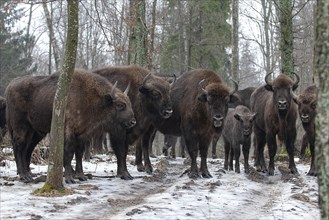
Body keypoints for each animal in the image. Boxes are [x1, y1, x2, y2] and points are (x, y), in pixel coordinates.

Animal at [4, 69, 135, 183]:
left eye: (129, 103)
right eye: (119, 105)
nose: (133, 122)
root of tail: (10, 86)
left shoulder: (82, 134)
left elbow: (79, 154)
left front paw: (81, 176)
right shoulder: (69, 131)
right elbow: (68, 153)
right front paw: (69, 178)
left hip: (35, 131)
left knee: (28, 148)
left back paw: (28, 173)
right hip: (20, 127)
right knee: (18, 146)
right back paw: (24, 176)